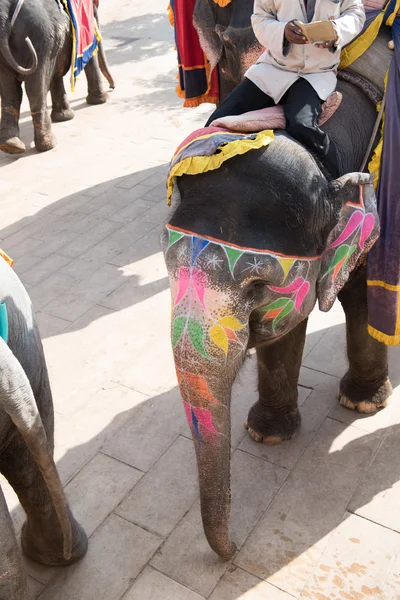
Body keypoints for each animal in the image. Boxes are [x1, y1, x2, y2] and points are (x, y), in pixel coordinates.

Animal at [0, 0, 114, 154]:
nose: (112, 87)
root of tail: (4, 14)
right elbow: (90, 54)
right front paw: (101, 100)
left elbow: (55, 75)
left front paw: (64, 117)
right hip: (41, 38)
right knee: (36, 87)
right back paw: (48, 145)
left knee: (10, 90)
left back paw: (11, 146)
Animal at [163, 35, 394, 560]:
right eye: (167, 269)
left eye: (257, 286)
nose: (233, 552)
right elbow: (284, 329)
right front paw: (267, 434)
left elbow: (364, 297)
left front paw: (361, 405)